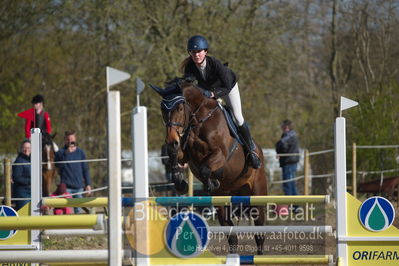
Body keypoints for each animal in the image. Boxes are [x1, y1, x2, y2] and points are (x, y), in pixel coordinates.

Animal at [152, 78, 268, 255]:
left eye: (180, 107)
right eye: (162, 109)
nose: (172, 141)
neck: (198, 120)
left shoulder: (221, 154)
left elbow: (205, 168)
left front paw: (212, 183)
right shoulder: (184, 152)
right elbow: (175, 157)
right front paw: (180, 182)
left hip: (257, 195)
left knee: (259, 232)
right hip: (224, 202)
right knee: (231, 234)